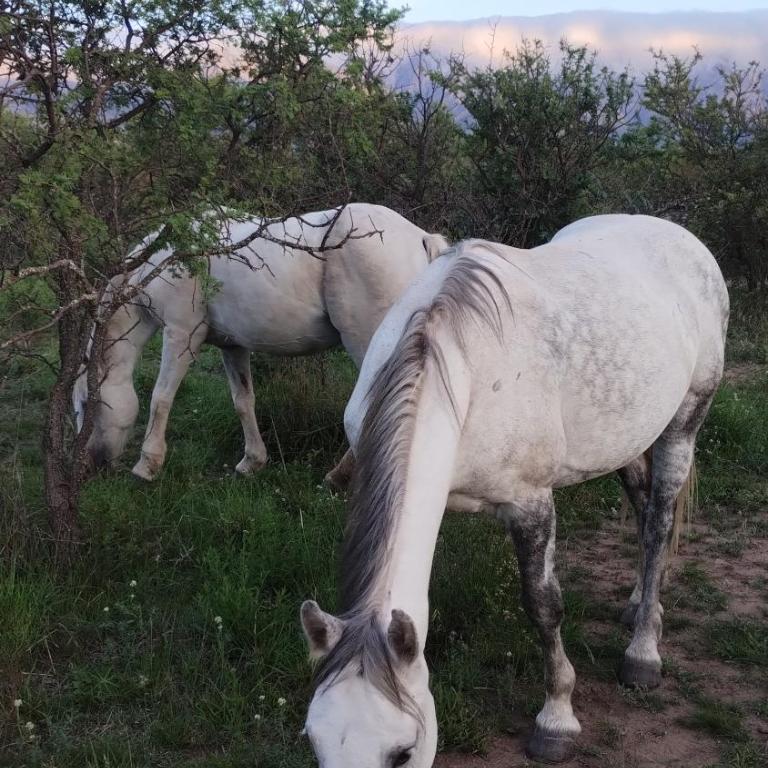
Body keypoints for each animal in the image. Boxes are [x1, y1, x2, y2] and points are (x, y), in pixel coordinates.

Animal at [72, 204, 448, 481]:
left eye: (85, 406)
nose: (90, 463)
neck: (166, 260)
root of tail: (421, 238)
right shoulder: (232, 346)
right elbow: (243, 401)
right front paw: (252, 461)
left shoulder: (181, 334)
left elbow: (161, 398)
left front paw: (147, 464)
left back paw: (340, 476)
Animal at [299, 214, 728, 767]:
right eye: (314, 741)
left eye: (403, 751)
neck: (460, 368)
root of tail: (685, 239)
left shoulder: (530, 503)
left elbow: (543, 605)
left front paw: (556, 720)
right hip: (626, 438)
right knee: (641, 507)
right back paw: (641, 606)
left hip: (684, 424)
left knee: (659, 524)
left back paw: (643, 653)